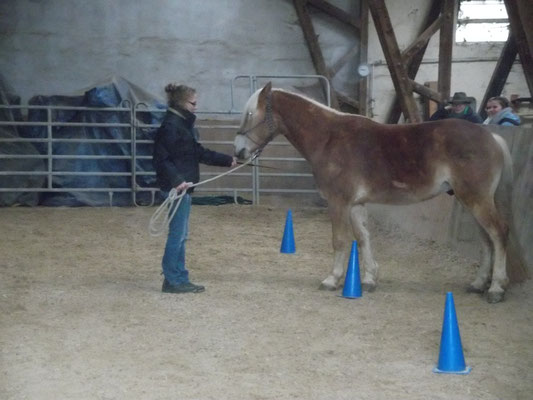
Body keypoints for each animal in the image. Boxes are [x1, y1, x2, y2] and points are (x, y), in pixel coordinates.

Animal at [234, 83, 528, 304]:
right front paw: (368, 279)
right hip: (472, 201)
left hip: (476, 200)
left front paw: (332, 279)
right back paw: (478, 284)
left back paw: (496, 288)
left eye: (249, 114)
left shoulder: (339, 203)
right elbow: (364, 239)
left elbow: (340, 240)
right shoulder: (355, 204)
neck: (329, 137)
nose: (239, 152)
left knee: (498, 233)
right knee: (486, 240)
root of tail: (492, 138)